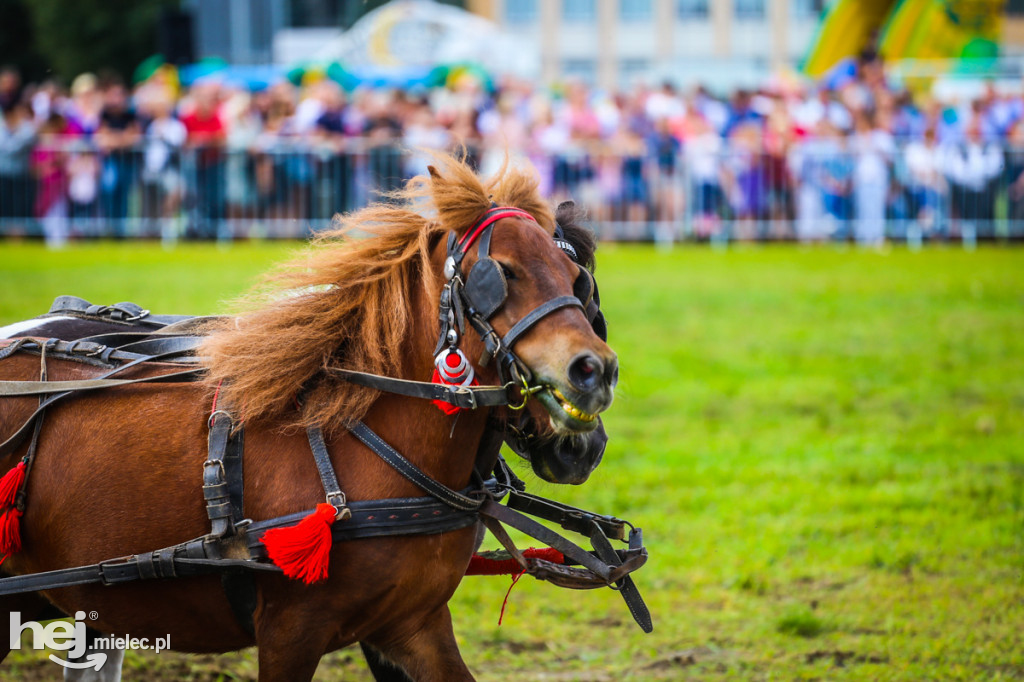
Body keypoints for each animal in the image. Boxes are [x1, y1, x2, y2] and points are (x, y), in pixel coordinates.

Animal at [0, 156, 614, 675]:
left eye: (576, 281)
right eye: (502, 273)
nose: (595, 373)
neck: (367, 441)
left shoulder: (411, 624)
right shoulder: (290, 630)